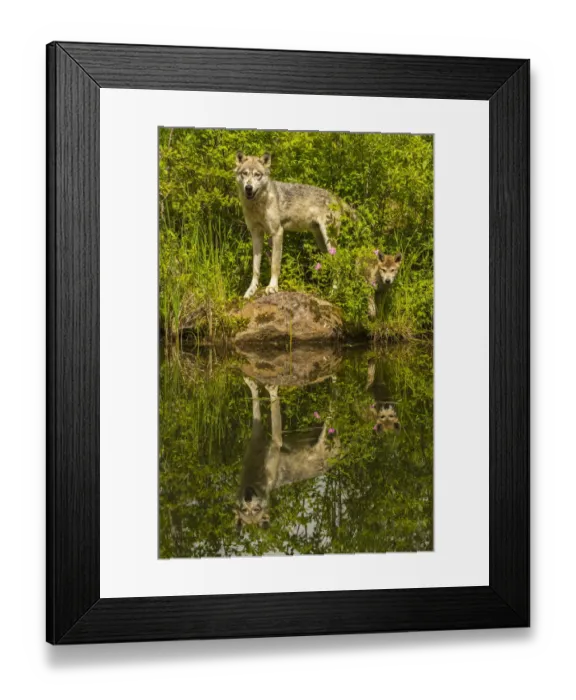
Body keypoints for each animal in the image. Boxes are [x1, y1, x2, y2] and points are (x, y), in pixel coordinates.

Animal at [235, 152, 355, 298]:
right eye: (245, 174)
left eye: (257, 174)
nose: (248, 188)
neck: (258, 205)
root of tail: (335, 197)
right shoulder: (256, 234)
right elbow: (255, 268)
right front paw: (251, 291)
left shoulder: (277, 232)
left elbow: (275, 264)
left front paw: (272, 287)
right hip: (322, 242)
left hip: (328, 240)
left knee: (337, 264)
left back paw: (333, 292)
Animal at [236, 378, 340, 530]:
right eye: (245, 510)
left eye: (256, 509)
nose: (248, 497)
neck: (255, 477)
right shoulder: (264, 437)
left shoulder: (270, 439)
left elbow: (264, 402)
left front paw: (258, 386)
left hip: (325, 428)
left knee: (333, 402)